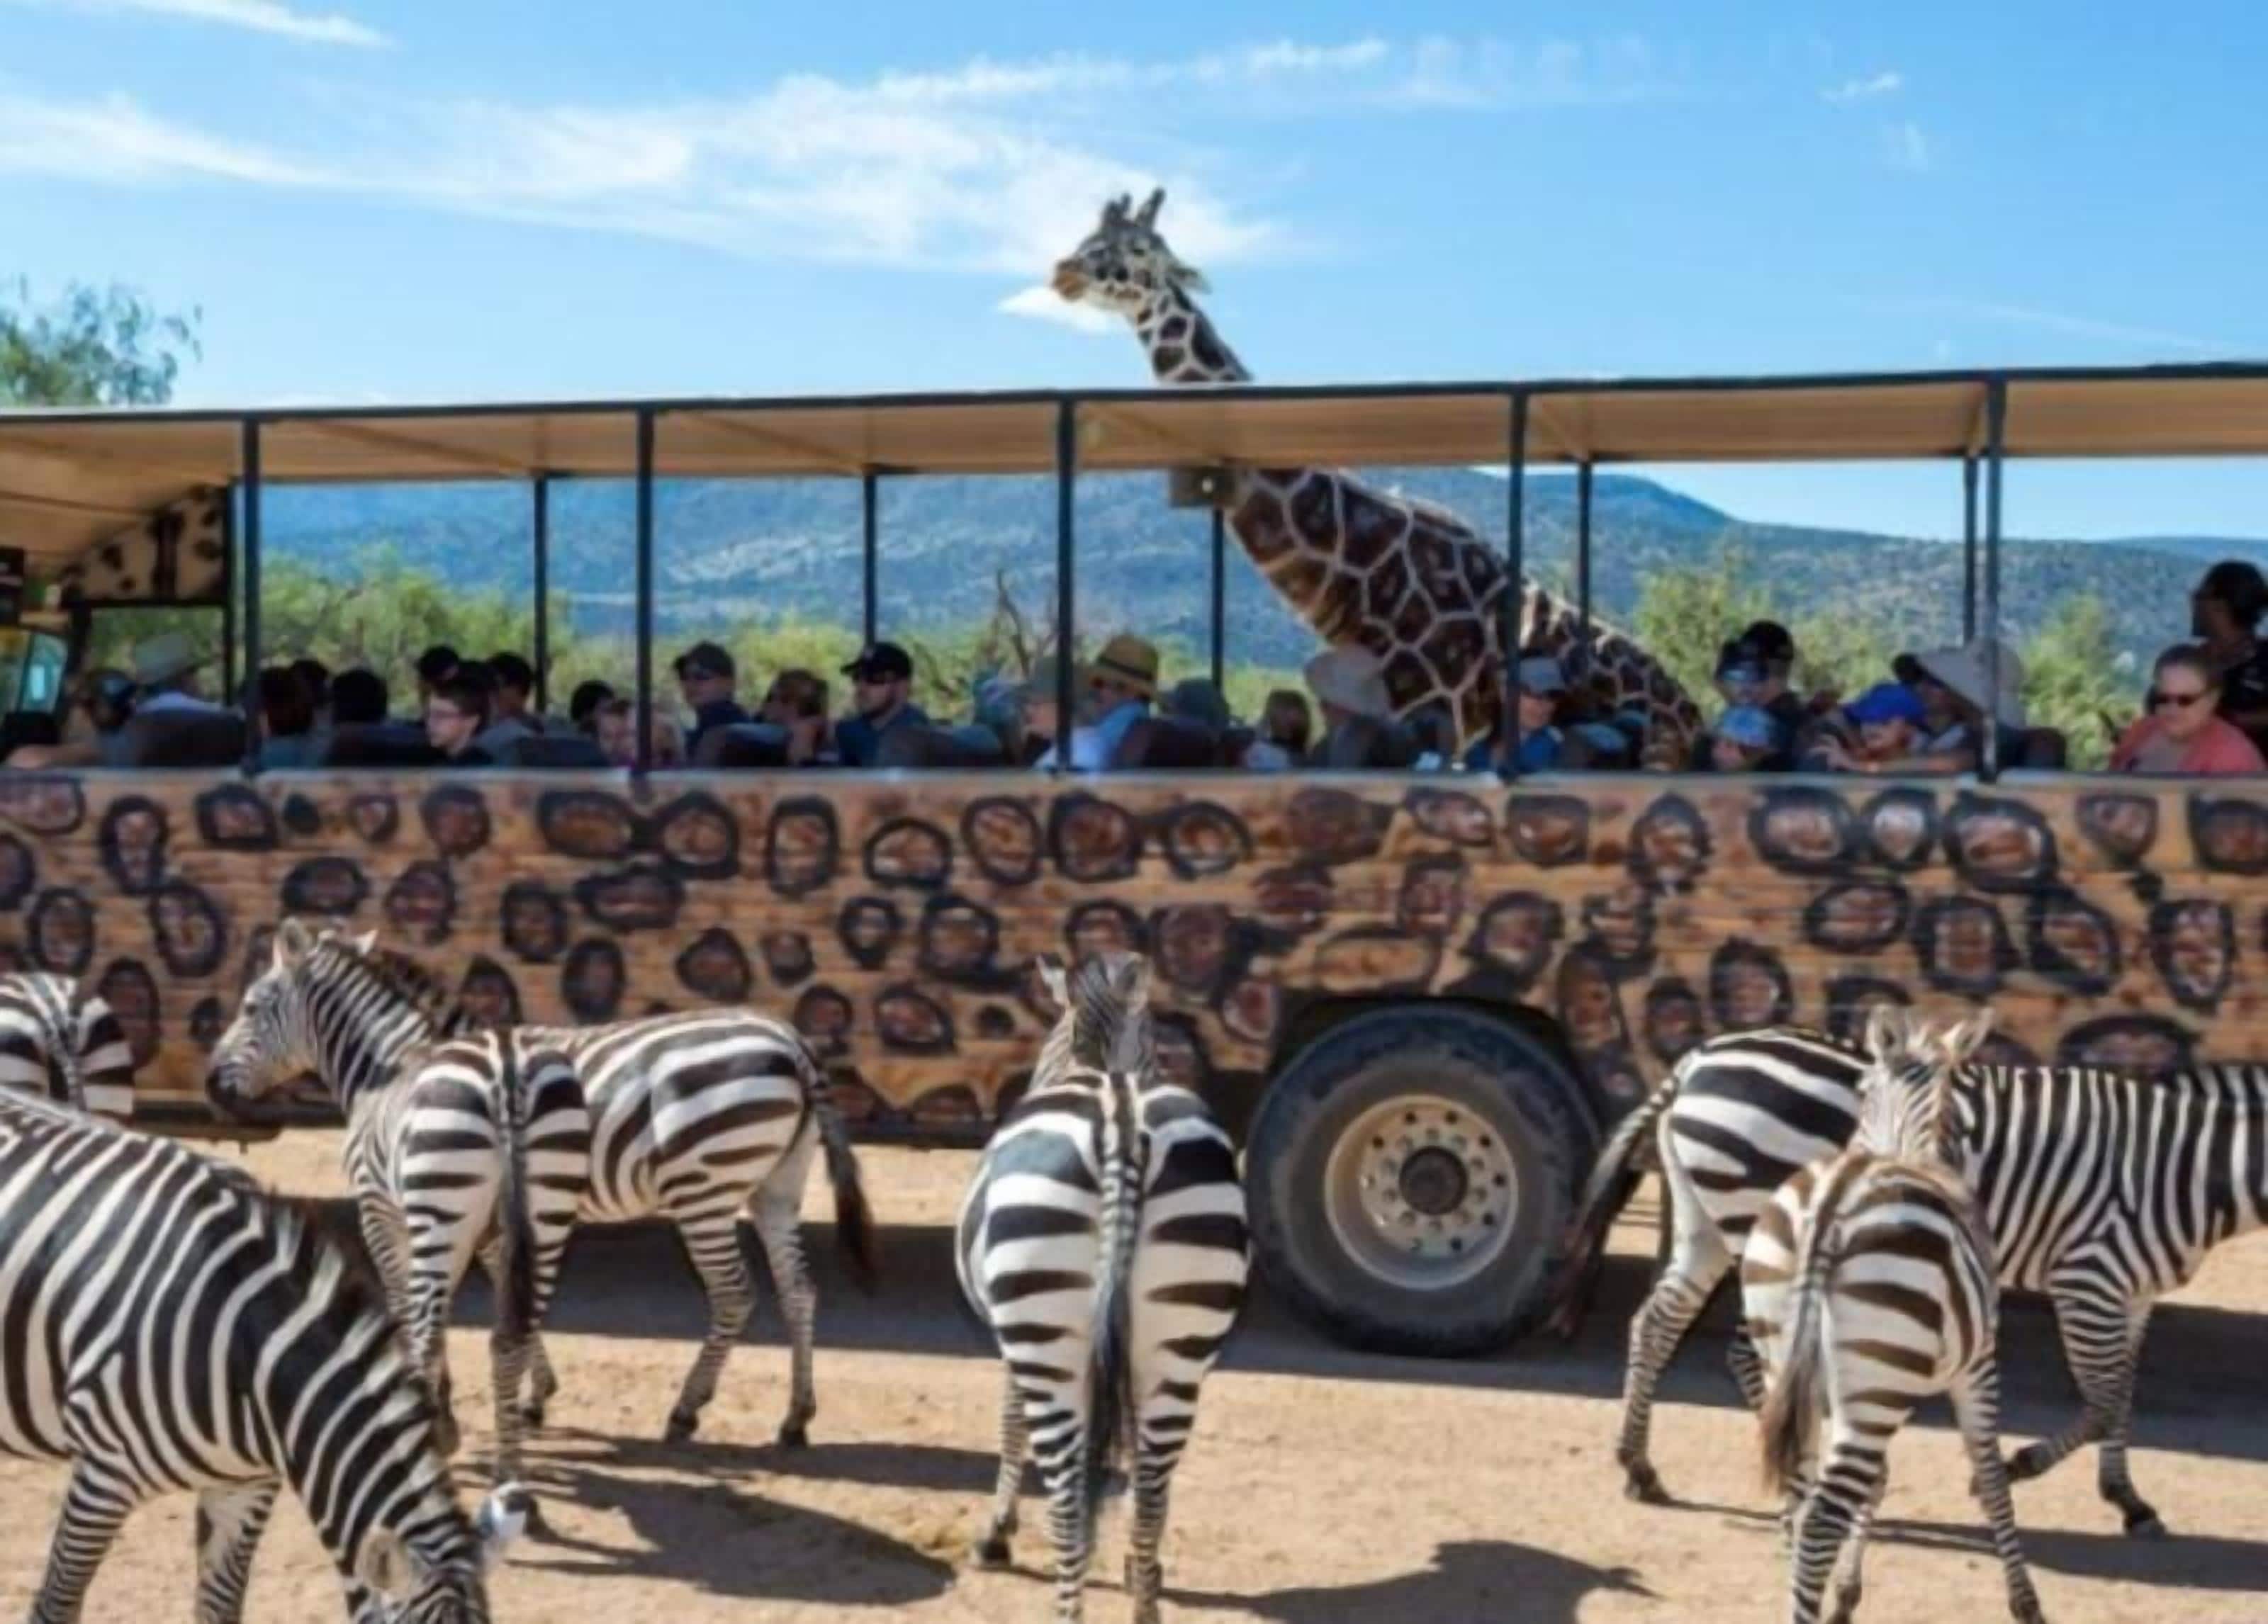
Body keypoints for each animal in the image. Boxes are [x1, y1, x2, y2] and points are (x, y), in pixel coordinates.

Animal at [207, 919, 878, 1449]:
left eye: (250, 1007)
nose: (212, 1084)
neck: (394, 1066)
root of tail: (791, 1041)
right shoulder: (491, 1216)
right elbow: (507, 1291)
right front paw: (535, 1392)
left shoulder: (387, 1206)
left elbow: (409, 1298)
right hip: (776, 1187)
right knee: (798, 1290)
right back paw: (796, 1418)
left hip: (703, 1189)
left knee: (735, 1294)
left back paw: (687, 1409)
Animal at [956, 950, 1249, 1624]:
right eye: (1162, 1047)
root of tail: (1121, 1120)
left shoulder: (1014, 1346)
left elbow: (1009, 1424)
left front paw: (994, 1536)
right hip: (1182, 1345)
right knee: (1148, 1499)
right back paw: (1145, 1596)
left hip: (1043, 1335)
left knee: (1066, 1504)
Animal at [1050, 189, 1706, 767]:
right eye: (1087, 237)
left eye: (1139, 249)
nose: (1064, 272)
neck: (1363, 578)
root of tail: (1692, 708)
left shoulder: (1441, 714)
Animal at [1542, 1009, 2268, 1539]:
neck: (2178, 1165)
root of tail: (1699, 1058)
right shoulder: (2088, 1281)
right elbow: (2104, 1401)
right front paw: (2016, 1466)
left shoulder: (2132, 1294)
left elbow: (2123, 1396)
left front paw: (2127, 1498)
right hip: (1758, 1223)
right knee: (1747, 1352)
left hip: (1705, 1218)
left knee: (1658, 1323)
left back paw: (1640, 1467)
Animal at [1744, 1008, 2044, 1624]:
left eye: (1860, 1090)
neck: (1922, 1152)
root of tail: (1833, 1198)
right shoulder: (1979, 1364)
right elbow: (1991, 1475)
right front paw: (2025, 1604)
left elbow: (1879, 1482)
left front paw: (1845, 1594)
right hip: (1879, 1383)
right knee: (1820, 1518)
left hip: (1790, 1360)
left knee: (1799, 1499)